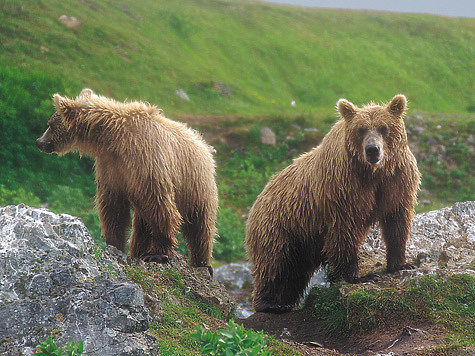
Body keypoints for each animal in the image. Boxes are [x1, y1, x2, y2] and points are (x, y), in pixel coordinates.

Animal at [36, 89, 218, 270]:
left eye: (50, 124)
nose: (39, 142)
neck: (114, 140)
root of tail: (205, 145)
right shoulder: (111, 167)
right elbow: (113, 207)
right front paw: (114, 244)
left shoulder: (147, 163)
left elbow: (161, 207)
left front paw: (157, 254)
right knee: (142, 224)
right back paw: (137, 250)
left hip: (196, 186)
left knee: (200, 227)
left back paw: (202, 262)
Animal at [247, 95, 422, 314]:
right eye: (361, 129)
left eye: (383, 128)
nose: (373, 150)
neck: (373, 173)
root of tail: (259, 198)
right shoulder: (344, 188)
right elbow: (344, 231)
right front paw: (357, 276)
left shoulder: (397, 180)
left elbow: (397, 221)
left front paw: (402, 264)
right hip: (280, 225)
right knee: (275, 263)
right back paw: (271, 304)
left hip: (301, 239)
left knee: (294, 273)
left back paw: (285, 301)